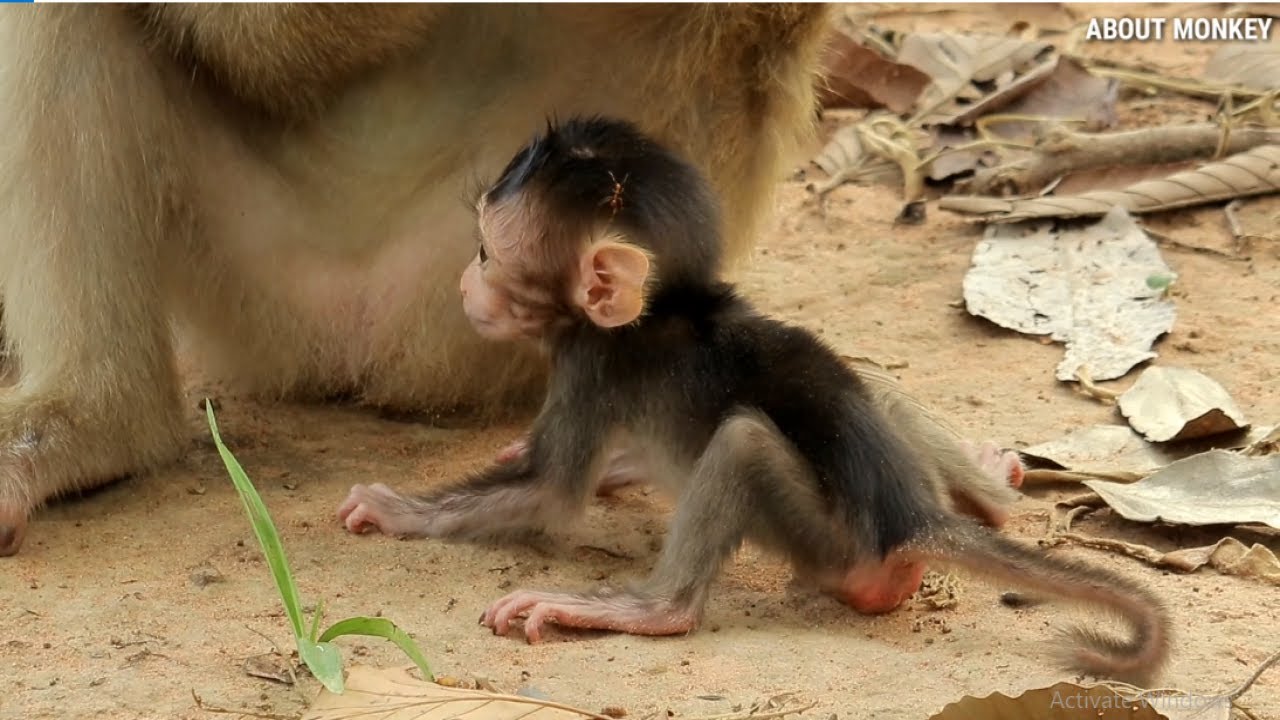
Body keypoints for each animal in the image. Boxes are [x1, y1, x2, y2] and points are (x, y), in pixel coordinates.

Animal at [338, 117, 1171, 685]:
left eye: (486, 253)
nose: (463, 283)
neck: (665, 305)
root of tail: (913, 520)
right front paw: (623, 469)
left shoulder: (589, 360)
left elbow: (547, 493)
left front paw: (395, 509)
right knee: (876, 386)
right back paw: (994, 487)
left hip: (830, 548)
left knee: (742, 443)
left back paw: (647, 610)